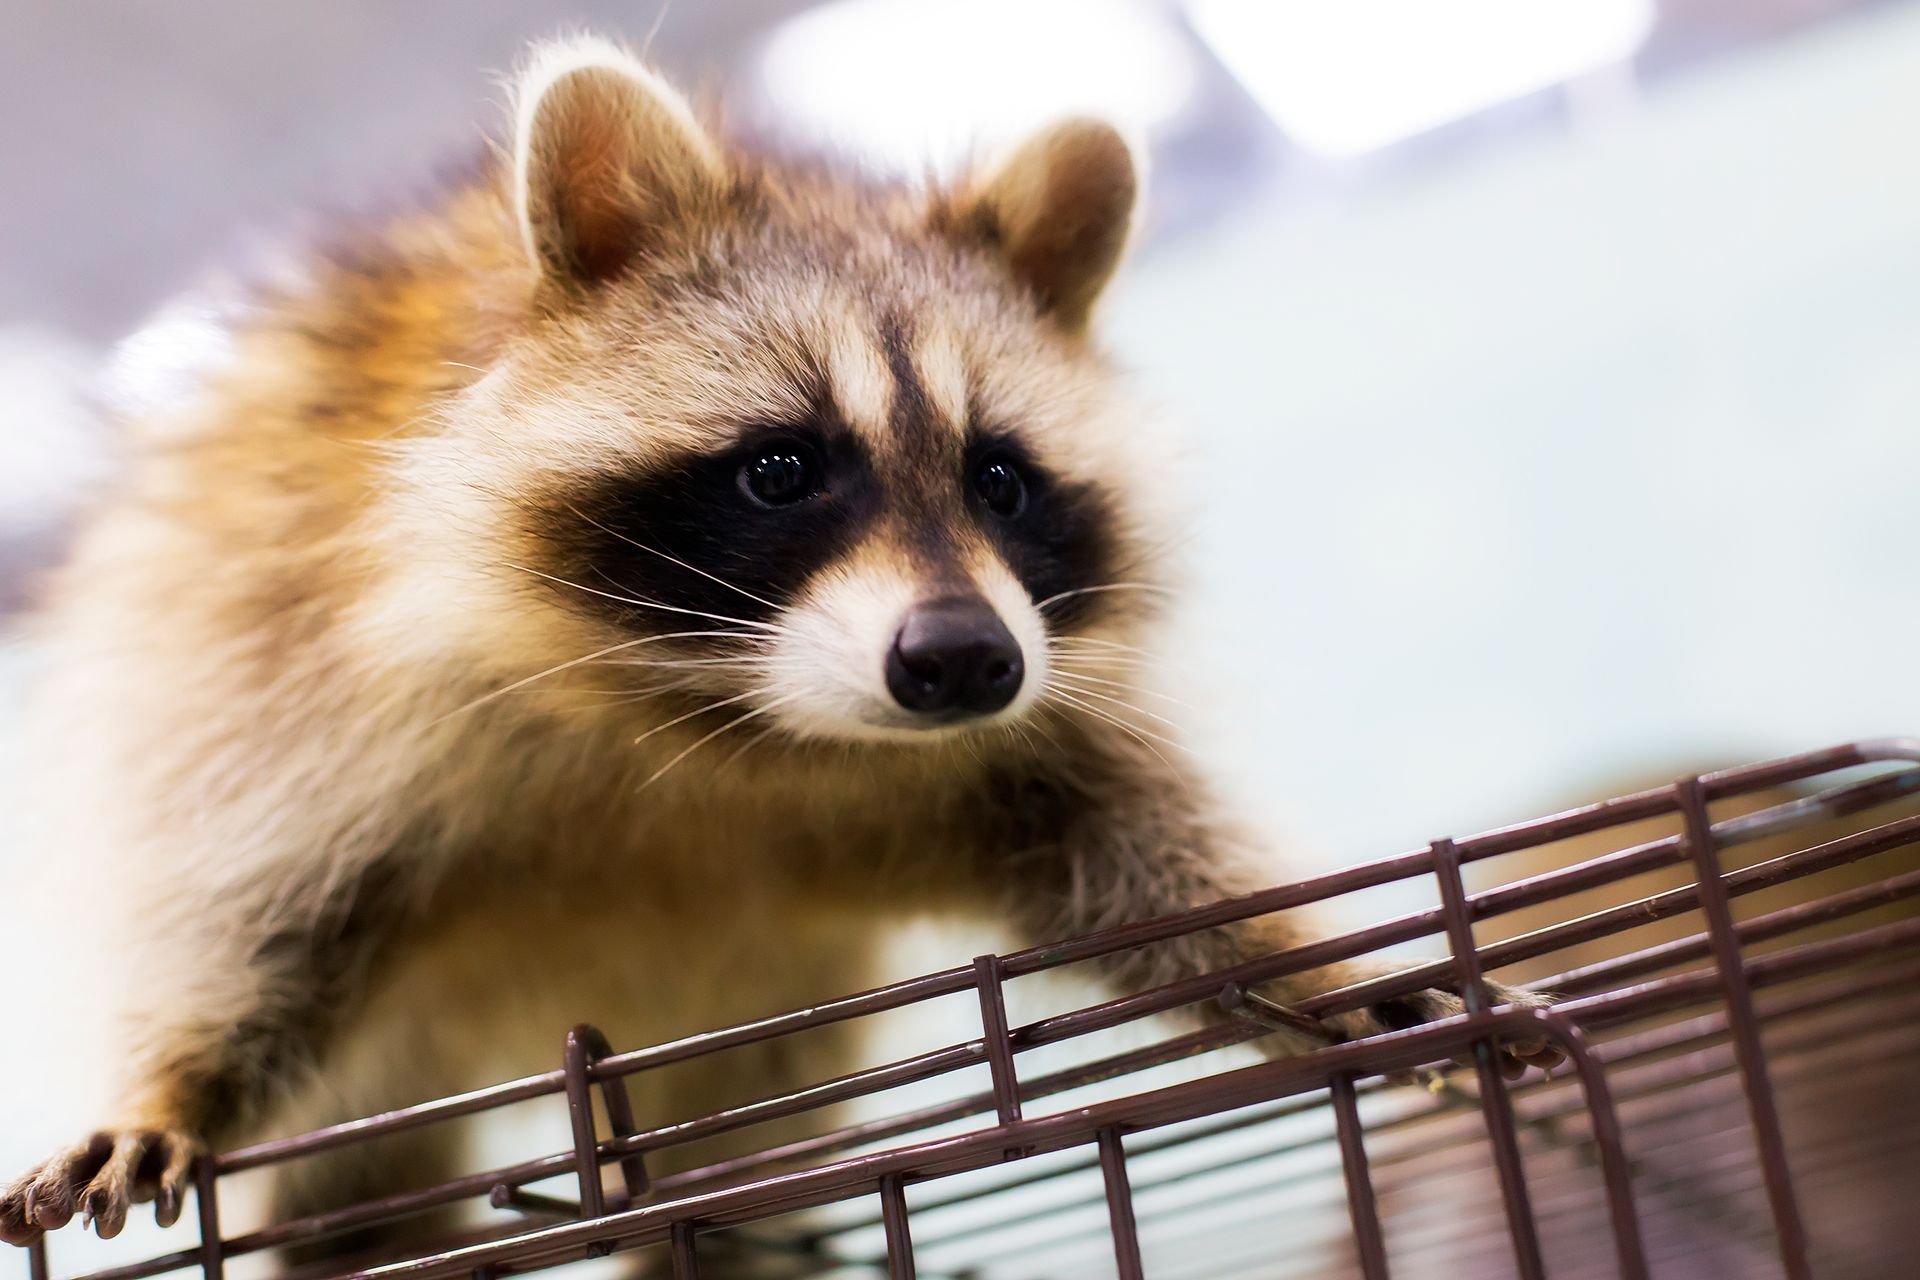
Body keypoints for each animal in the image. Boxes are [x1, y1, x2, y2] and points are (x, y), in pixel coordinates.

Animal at [0, 37, 1552, 1268]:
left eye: (1001, 479)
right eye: (783, 469)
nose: (963, 662)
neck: (736, 715)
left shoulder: (1023, 728)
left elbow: (1144, 867)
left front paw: (1323, 963)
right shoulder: (280, 653)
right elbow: (250, 914)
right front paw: (173, 1086)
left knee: (735, 1180)